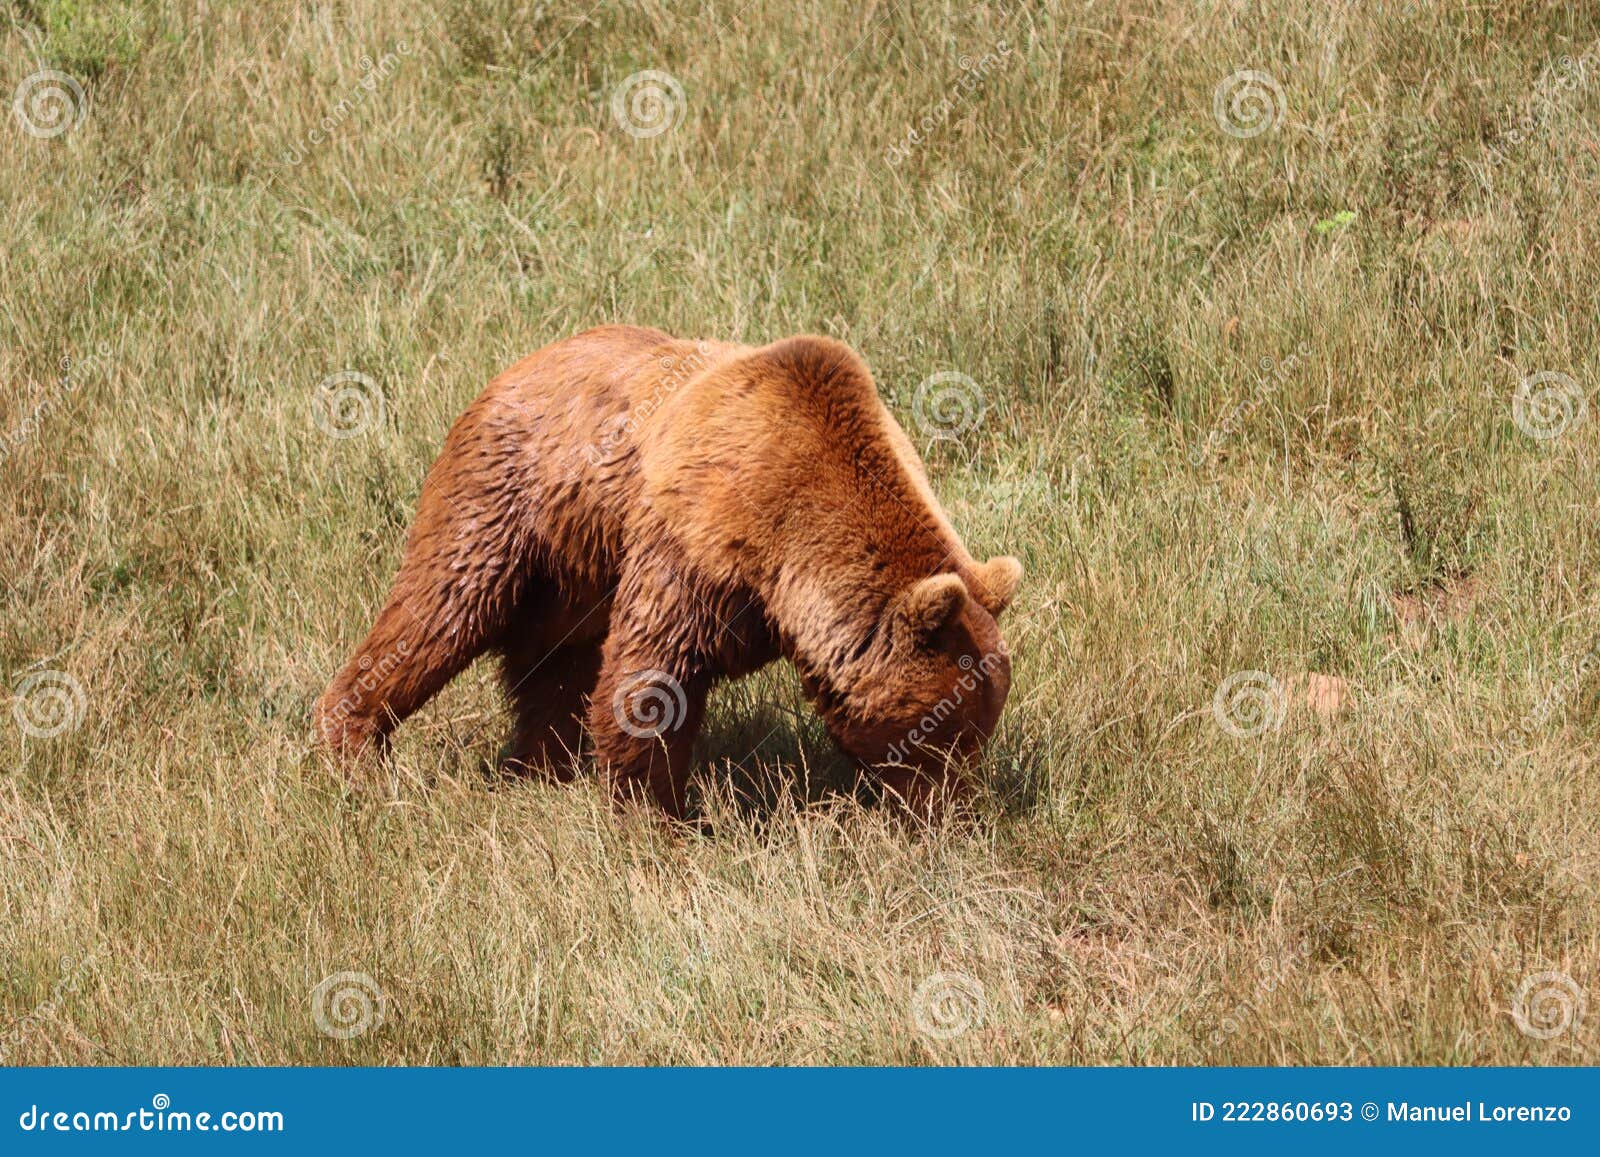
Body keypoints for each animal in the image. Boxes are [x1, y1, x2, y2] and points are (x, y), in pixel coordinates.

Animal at [312, 321, 1024, 819]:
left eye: (979, 729)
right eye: (939, 730)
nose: (950, 812)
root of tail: (519, 364)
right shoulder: (693, 544)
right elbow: (650, 675)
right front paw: (662, 822)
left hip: (577, 567)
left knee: (555, 664)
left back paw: (542, 769)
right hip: (506, 497)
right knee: (440, 608)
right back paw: (353, 748)